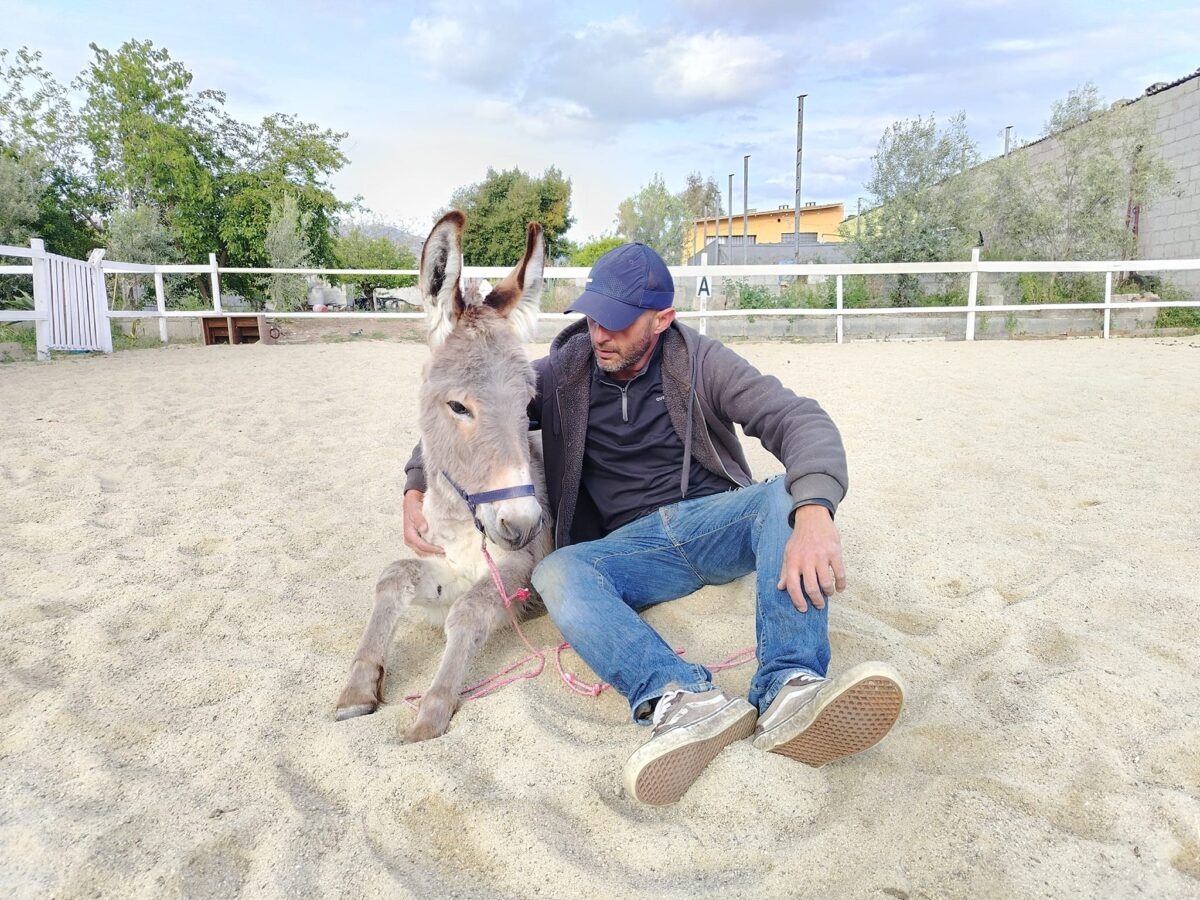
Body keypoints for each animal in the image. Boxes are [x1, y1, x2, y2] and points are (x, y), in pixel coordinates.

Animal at [334, 210, 553, 741]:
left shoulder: (521, 568)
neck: (463, 525)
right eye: (458, 406)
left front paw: (432, 709)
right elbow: (393, 577)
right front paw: (358, 687)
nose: (522, 523)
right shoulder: (442, 563)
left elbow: (469, 610)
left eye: (529, 402)